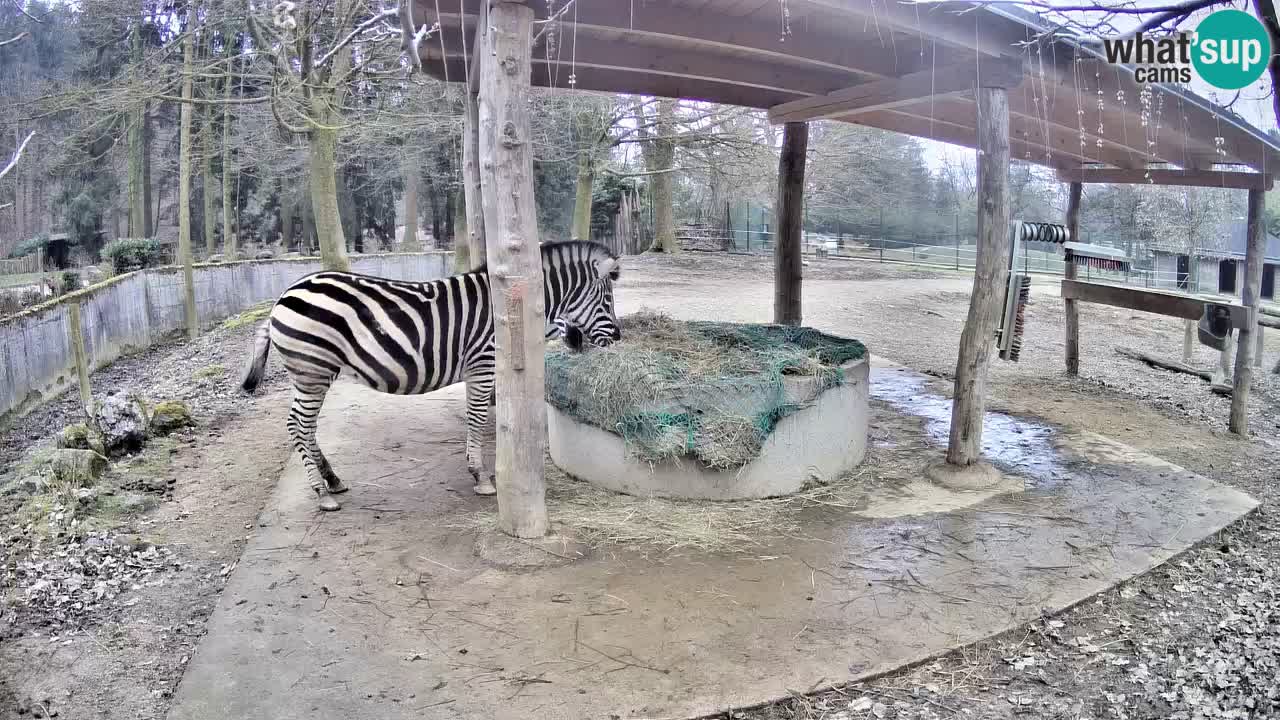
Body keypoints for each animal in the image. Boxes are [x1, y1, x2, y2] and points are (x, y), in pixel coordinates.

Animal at [241, 240, 622, 509]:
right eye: (607, 300)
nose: (619, 339)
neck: (512, 310)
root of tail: (282, 296)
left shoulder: (480, 369)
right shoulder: (482, 363)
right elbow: (477, 418)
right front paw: (481, 477)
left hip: (312, 374)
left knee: (304, 426)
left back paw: (333, 480)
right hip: (312, 370)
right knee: (298, 426)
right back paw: (322, 492)